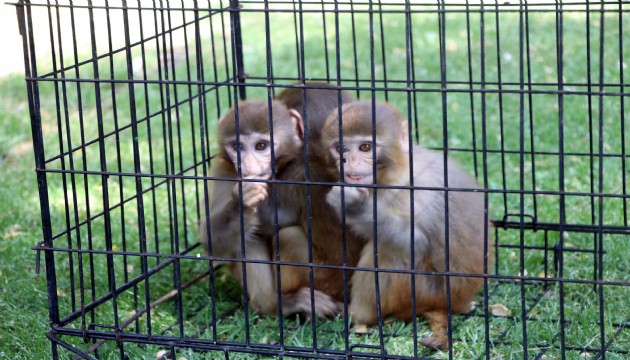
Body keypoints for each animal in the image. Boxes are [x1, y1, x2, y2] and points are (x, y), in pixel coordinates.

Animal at [320, 100, 494, 348]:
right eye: (341, 149)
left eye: (365, 147)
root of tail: (458, 302)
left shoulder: (421, 191)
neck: (396, 171)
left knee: (388, 255)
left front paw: (356, 207)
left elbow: (415, 245)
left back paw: (357, 314)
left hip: (423, 293)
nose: (350, 163)